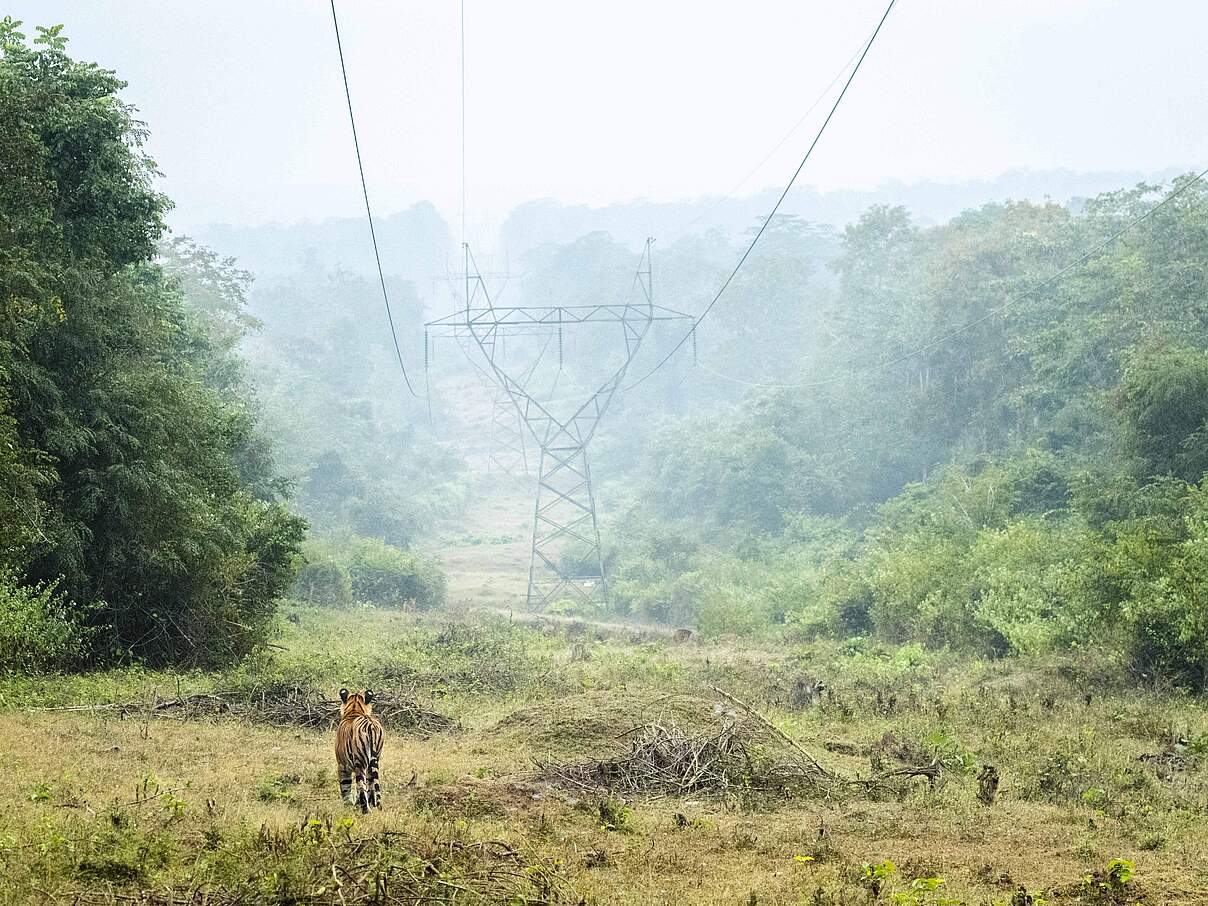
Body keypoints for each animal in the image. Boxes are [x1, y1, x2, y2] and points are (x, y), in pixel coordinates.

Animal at [335, 686, 381, 816]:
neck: (354, 710)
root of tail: (370, 724)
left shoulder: (342, 765)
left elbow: (345, 787)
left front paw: (348, 806)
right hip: (374, 760)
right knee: (371, 783)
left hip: (360, 763)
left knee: (361, 785)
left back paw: (365, 810)